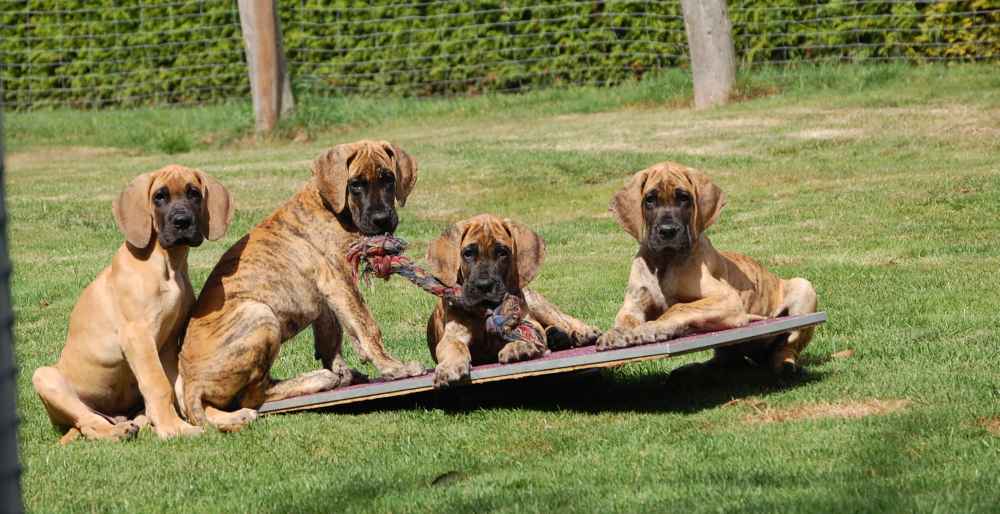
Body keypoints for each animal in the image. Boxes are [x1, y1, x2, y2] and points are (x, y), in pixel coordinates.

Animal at [32, 165, 232, 443]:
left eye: (193, 193)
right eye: (159, 196)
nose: (182, 222)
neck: (168, 263)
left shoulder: (169, 342)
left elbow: (178, 385)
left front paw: (210, 416)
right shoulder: (138, 336)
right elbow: (158, 384)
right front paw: (174, 428)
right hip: (44, 376)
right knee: (87, 422)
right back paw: (118, 431)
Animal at [179, 140, 426, 430]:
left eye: (388, 178)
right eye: (355, 184)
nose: (381, 219)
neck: (330, 205)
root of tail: (191, 387)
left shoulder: (328, 294)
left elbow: (334, 334)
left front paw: (345, 368)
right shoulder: (339, 277)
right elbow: (366, 325)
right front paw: (393, 367)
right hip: (260, 314)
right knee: (253, 395)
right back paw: (317, 378)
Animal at [425, 214, 601, 388]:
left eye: (502, 252)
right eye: (468, 253)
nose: (484, 286)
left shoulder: (529, 324)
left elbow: (526, 334)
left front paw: (518, 347)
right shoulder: (452, 335)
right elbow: (455, 347)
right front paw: (449, 366)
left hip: (538, 305)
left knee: (565, 320)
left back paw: (584, 333)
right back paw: (557, 336)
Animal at [596, 162, 818, 375]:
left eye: (684, 198)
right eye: (650, 199)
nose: (667, 231)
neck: (665, 261)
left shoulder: (728, 298)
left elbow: (679, 306)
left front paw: (650, 327)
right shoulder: (632, 306)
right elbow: (626, 320)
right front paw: (617, 333)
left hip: (803, 288)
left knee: (786, 346)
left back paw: (784, 364)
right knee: (727, 360)